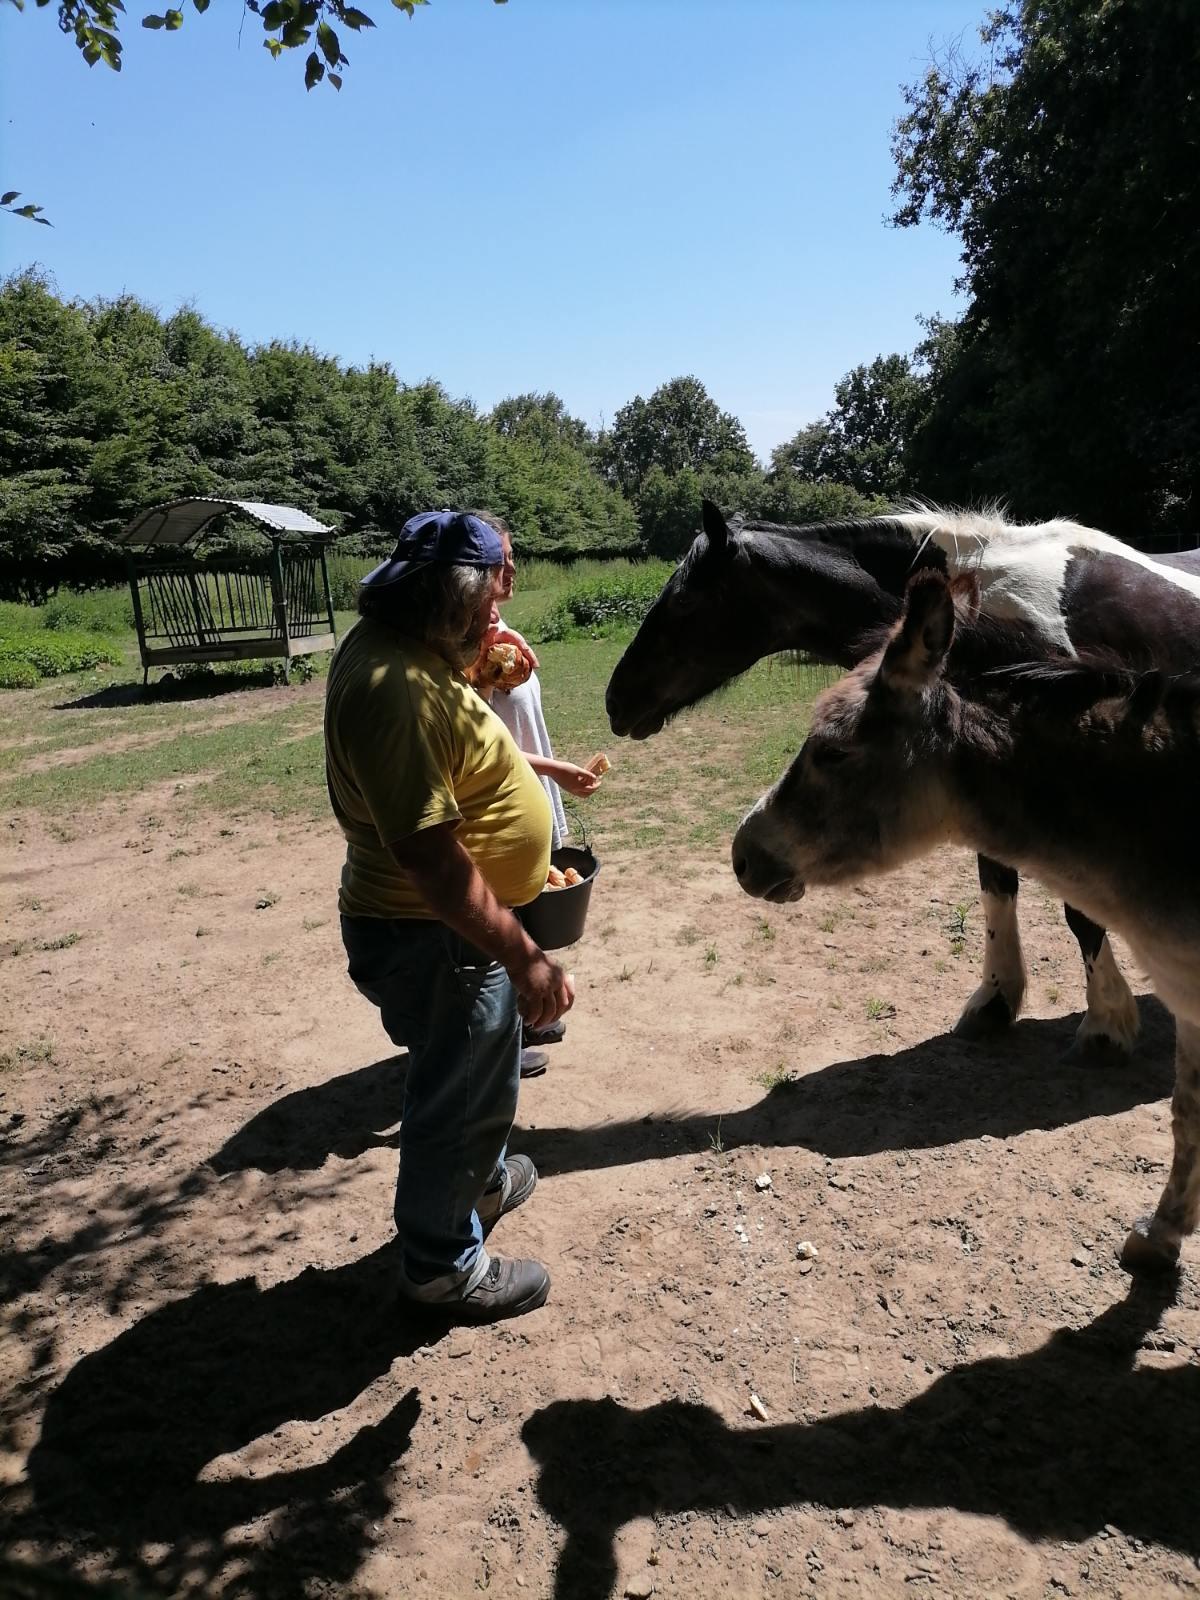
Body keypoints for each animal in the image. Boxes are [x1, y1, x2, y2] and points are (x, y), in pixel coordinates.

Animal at [604, 496, 1200, 1049]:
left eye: (684, 602)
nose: (615, 701)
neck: (989, 593)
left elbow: (1082, 912)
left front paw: (1105, 1023)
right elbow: (996, 886)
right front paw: (995, 1001)